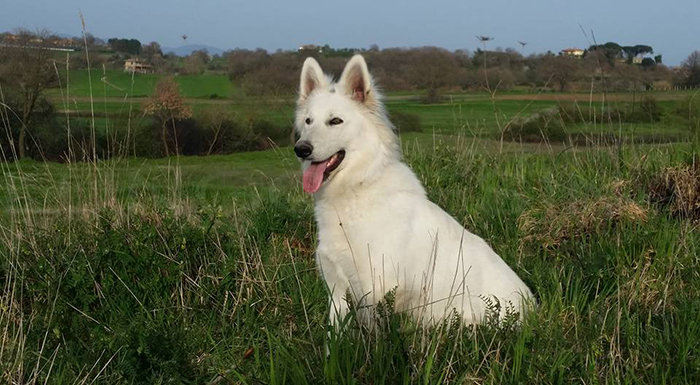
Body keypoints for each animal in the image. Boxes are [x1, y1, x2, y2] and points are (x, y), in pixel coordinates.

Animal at [294, 54, 532, 328]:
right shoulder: (336, 288)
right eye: (308, 121)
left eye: (335, 121)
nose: (300, 149)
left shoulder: (374, 289)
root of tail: (532, 308)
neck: (358, 186)